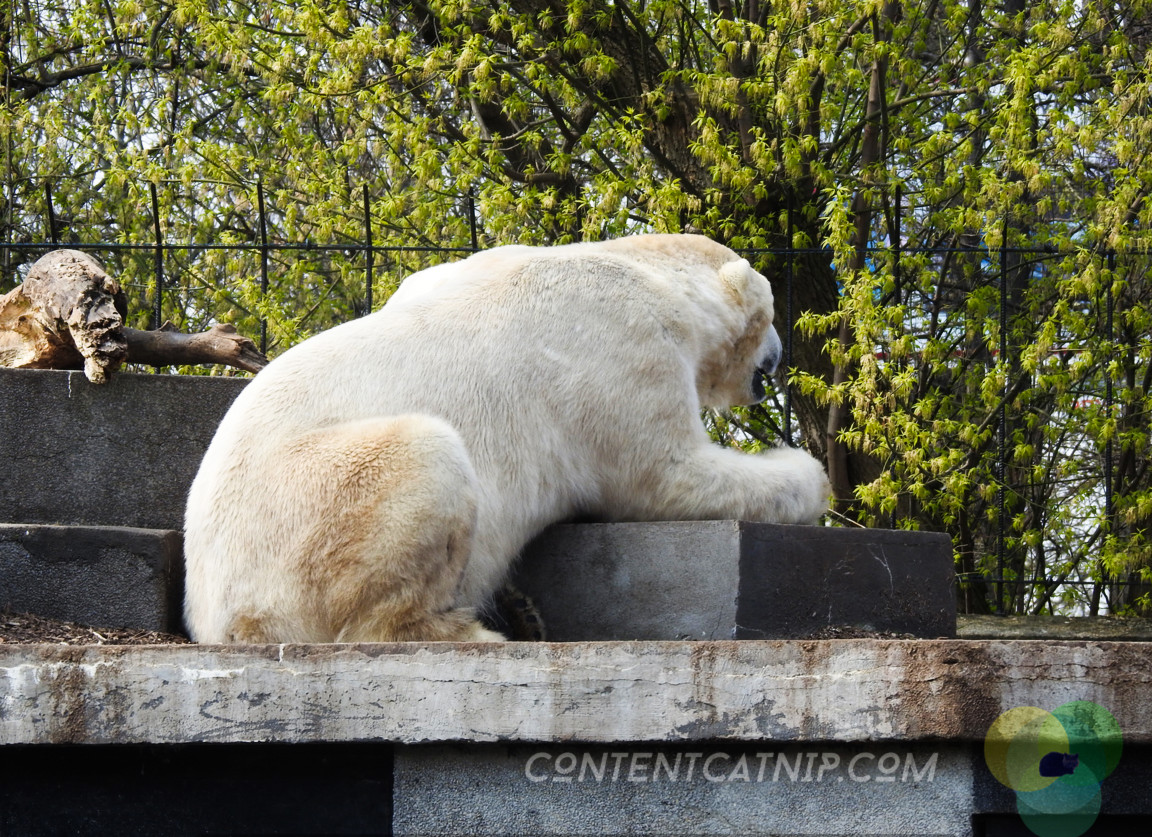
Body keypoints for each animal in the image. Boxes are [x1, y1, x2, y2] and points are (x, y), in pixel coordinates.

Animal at [182, 234, 830, 643]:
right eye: (772, 313)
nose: (777, 360)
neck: (639, 266)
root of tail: (217, 613)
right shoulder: (621, 342)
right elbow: (670, 476)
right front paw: (808, 474)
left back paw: (520, 613)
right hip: (303, 514)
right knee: (425, 457)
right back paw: (476, 630)